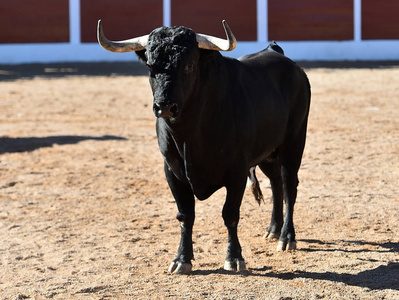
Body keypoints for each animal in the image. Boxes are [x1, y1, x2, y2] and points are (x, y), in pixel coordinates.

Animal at [97, 21, 312, 274]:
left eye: (189, 65)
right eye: (150, 66)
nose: (165, 107)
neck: (189, 136)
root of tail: (278, 54)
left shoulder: (236, 172)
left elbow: (230, 214)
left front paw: (234, 258)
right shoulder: (172, 171)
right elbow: (185, 215)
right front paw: (182, 259)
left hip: (294, 143)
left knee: (289, 186)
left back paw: (287, 237)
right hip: (267, 153)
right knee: (276, 183)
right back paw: (273, 230)